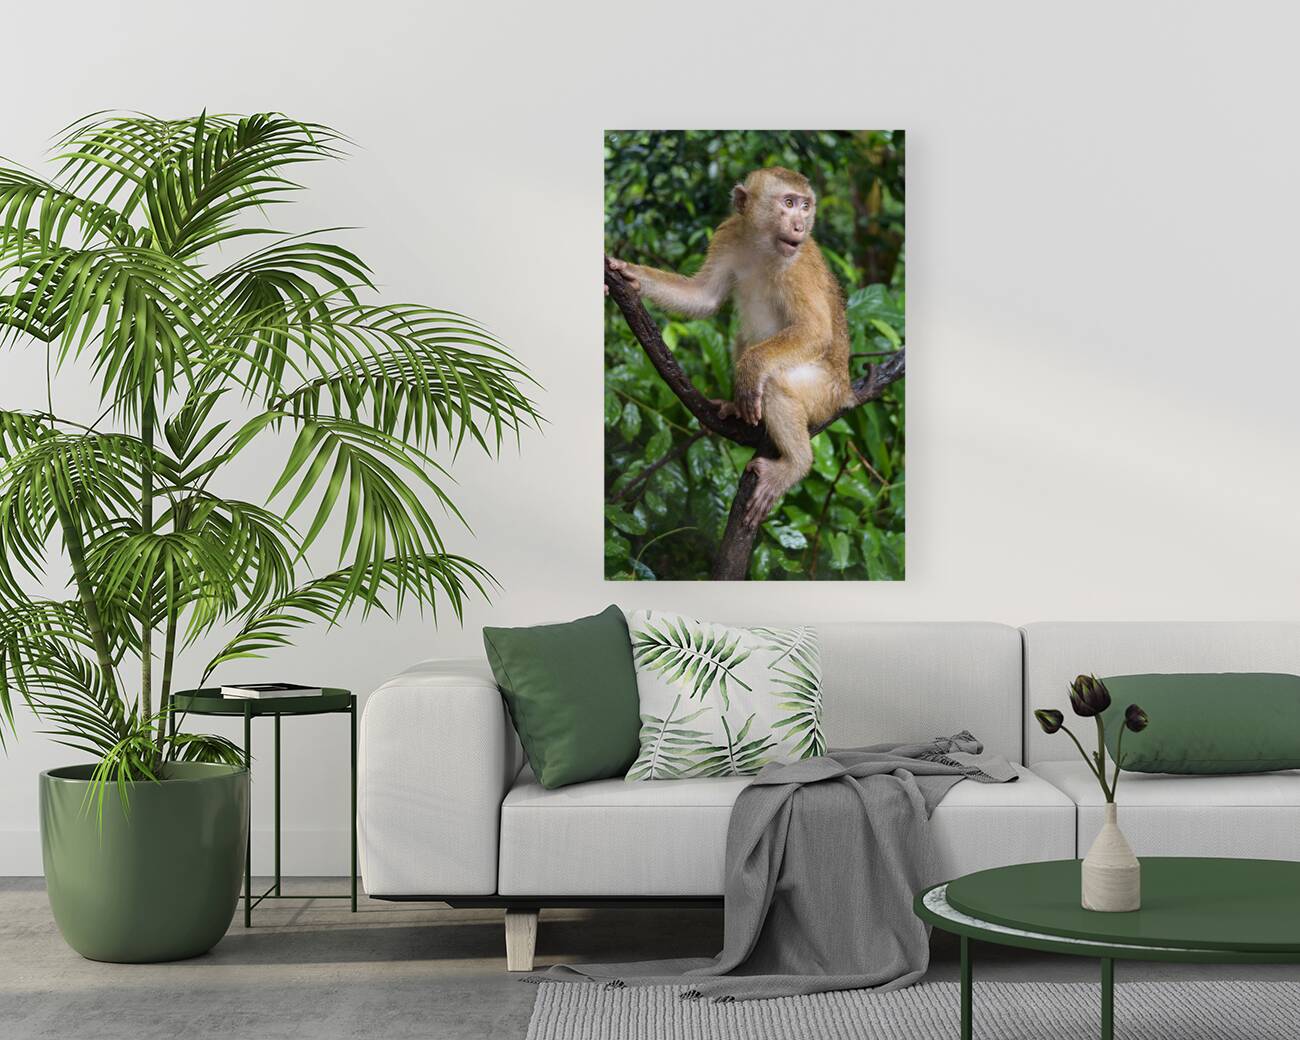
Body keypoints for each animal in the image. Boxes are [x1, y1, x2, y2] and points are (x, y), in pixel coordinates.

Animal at [606, 166, 852, 526]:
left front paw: (750, 370)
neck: (764, 245)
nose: (799, 226)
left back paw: (795, 464)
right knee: (742, 338)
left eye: (805, 206)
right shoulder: (730, 234)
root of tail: (846, 391)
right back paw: (738, 408)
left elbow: (815, 330)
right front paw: (630, 275)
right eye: (788, 203)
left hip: (825, 393)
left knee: (775, 381)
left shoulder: (798, 266)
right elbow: (704, 297)